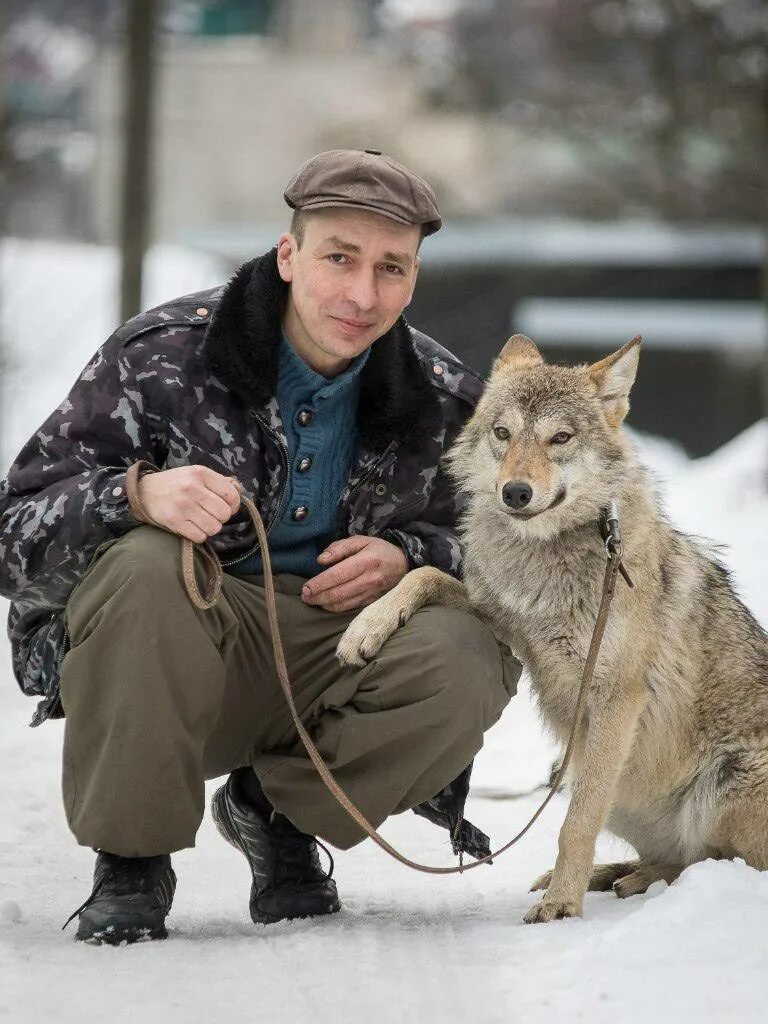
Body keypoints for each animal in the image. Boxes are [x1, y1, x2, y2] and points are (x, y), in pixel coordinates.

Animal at [335, 333, 768, 921]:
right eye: (503, 433)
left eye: (560, 438)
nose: (515, 492)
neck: (545, 561)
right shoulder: (506, 626)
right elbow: (424, 574)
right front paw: (366, 627)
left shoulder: (615, 701)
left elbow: (575, 826)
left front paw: (562, 907)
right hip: (582, 773)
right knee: (678, 856)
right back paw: (618, 875)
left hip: (714, 789)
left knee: (715, 863)